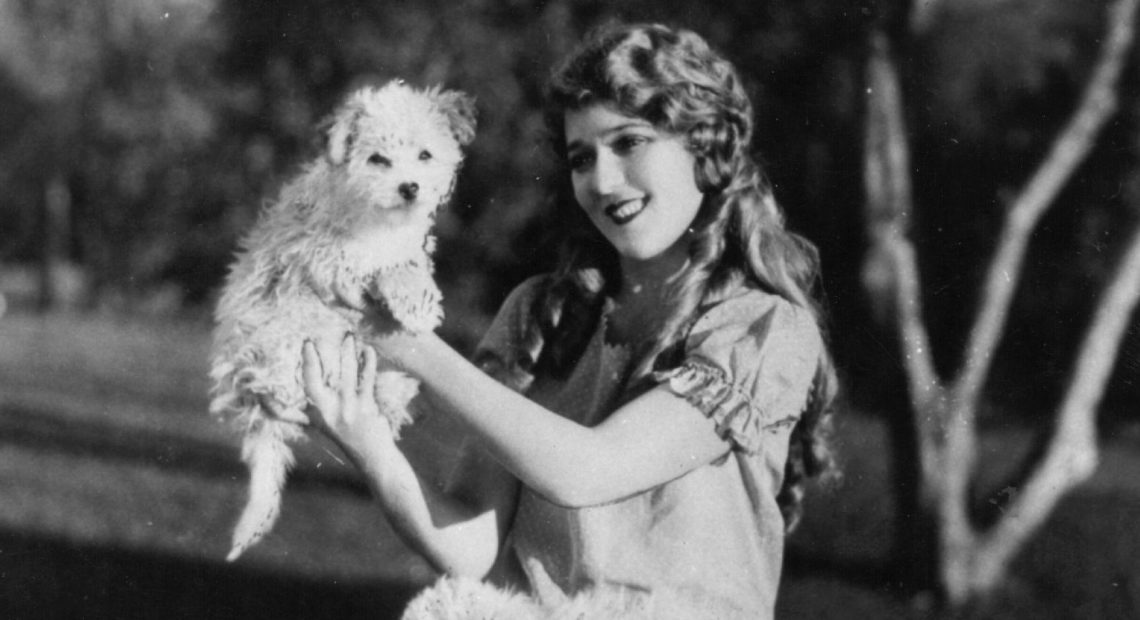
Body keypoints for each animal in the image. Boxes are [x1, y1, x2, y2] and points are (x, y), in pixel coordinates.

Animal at [210, 80, 476, 560]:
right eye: (378, 159)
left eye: (425, 155)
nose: (410, 188)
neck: (377, 218)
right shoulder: (329, 257)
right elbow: (381, 266)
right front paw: (412, 298)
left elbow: (408, 262)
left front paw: (418, 294)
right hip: (286, 341)